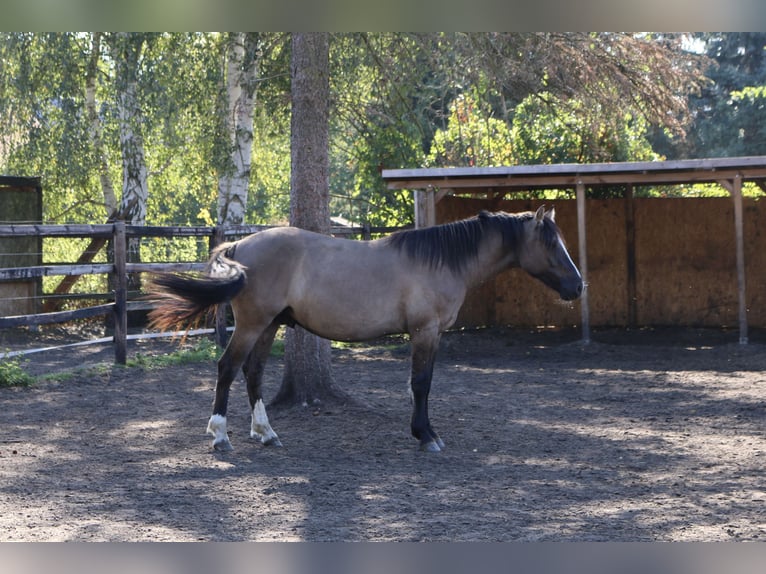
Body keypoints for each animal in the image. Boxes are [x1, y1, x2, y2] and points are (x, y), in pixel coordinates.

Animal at [147, 207, 584, 454]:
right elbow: (421, 383)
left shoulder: (433, 335)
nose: (578, 286)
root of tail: (239, 247)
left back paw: (266, 433)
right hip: (253, 324)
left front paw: (425, 431)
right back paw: (221, 436)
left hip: (269, 325)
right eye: (551, 244)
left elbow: (421, 384)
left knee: (253, 373)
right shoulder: (425, 332)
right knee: (228, 369)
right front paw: (426, 436)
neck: (441, 261)